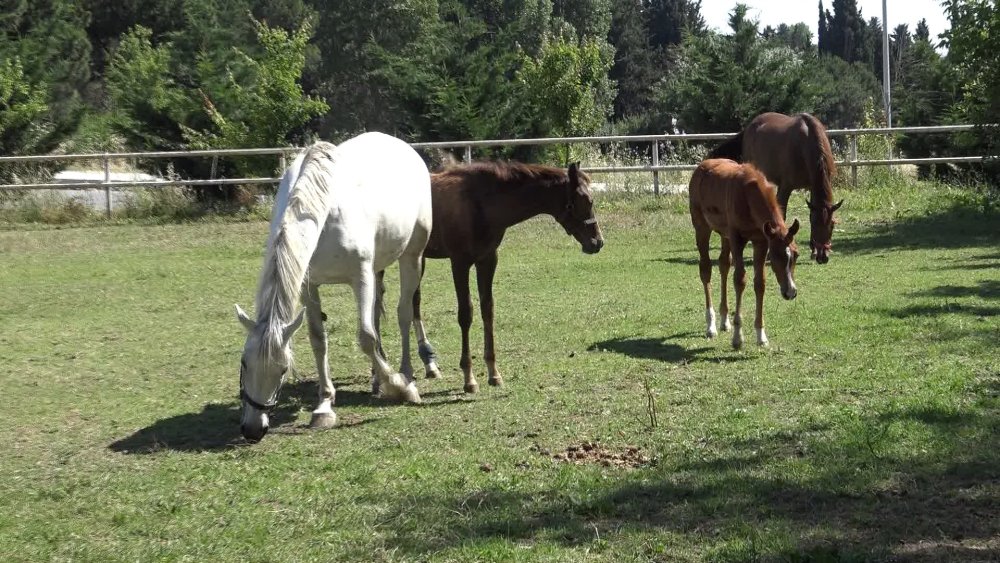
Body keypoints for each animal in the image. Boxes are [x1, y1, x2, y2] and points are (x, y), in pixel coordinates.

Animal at [238, 132, 434, 440]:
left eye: (283, 369)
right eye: (244, 363)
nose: (253, 429)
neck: (323, 209)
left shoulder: (360, 277)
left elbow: (366, 337)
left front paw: (397, 385)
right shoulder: (309, 286)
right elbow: (319, 340)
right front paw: (324, 406)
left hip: (411, 257)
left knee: (404, 314)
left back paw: (406, 375)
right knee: (377, 314)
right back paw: (377, 378)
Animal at [376, 161, 604, 394]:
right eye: (586, 201)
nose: (597, 242)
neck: (480, 204)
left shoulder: (487, 260)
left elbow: (488, 310)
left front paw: (494, 373)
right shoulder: (460, 262)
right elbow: (465, 314)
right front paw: (469, 378)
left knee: (412, 302)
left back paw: (428, 365)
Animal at [692, 159, 800, 350]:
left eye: (796, 255)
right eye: (776, 257)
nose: (790, 292)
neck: (749, 195)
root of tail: (702, 165)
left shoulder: (761, 241)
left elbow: (760, 283)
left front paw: (761, 336)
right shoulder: (737, 239)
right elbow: (740, 280)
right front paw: (737, 338)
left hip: (724, 235)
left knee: (724, 265)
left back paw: (724, 321)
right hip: (702, 228)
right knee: (705, 270)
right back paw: (711, 326)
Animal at [712, 114, 844, 266]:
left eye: (832, 224)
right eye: (815, 223)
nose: (823, 257)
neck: (805, 142)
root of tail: (751, 125)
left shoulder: (812, 187)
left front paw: (813, 251)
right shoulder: (786, 187)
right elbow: (782, 215)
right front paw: (772, 253)